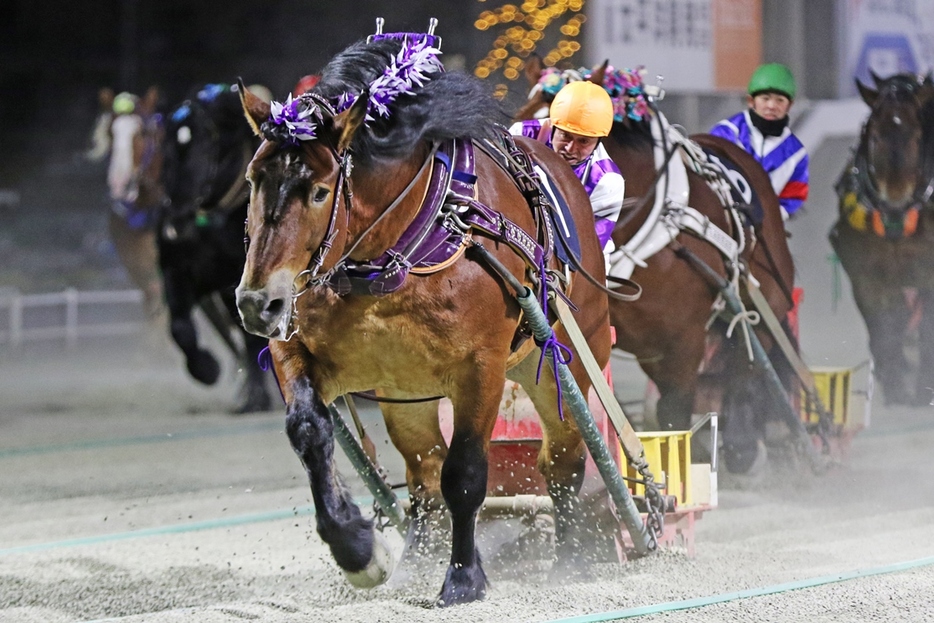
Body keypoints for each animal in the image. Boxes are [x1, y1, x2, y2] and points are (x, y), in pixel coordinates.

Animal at [158, 84, 272, 414]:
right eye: (165, 150)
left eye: (207, 149)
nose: (176, 222)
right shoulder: (177, 269)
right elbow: (180, 328)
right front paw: (207, 369)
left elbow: (252, 336)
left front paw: (257, 397)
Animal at [234, 36, 616, 608]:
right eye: (253, 180)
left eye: (320, 190)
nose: (258, 302)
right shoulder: (298, 350)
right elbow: (309, 432)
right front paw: (357, 548)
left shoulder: (480, 366)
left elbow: (467, 472)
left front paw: (463, 576)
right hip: (407, 394)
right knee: (424, 472)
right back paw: (415, 557)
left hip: (559, 365)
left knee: (564, 458)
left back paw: (570, 561)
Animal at [520, 61, 796, 476]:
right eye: (526, 117)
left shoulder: (682, 343)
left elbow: (675, 412)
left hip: (767, 299)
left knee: (747, 362)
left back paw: (743, 443)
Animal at [832, 73, 934, 408]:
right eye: (874, 136)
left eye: (917, 136)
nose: (894, 199)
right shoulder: (867, 274)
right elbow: (882, 325)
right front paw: (894, 382)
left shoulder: (927, 276)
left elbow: (926, 326)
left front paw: (922, 389)